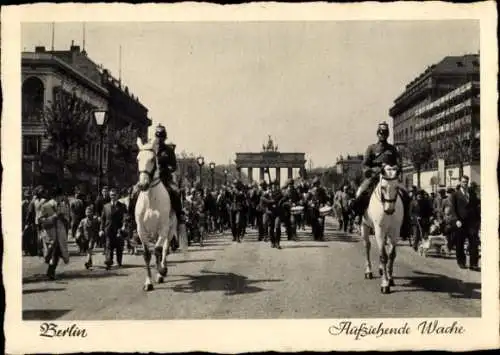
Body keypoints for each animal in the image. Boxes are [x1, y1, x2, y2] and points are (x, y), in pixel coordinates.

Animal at [135, 138, 178, 290]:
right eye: (138, 159)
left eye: (153, 159)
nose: (142, 185)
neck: (150, 199)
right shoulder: (141, 230)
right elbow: (147, 254)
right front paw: (148, 282)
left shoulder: (163, 228)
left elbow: (159, 250)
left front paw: (161, 271)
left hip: (170, 230)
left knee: (164, 249)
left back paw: (161, 270)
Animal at [362, 165, 404, 294]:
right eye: (383, 187)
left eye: (397, 187)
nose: (389, 210)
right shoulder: (379, 231)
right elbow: (384, 256)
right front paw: (385, 283)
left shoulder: (395, 231)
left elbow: (391, 255)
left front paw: (390, 278)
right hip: (365, 226)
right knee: (367, 246)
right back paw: (368, 271)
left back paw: (381, 269)